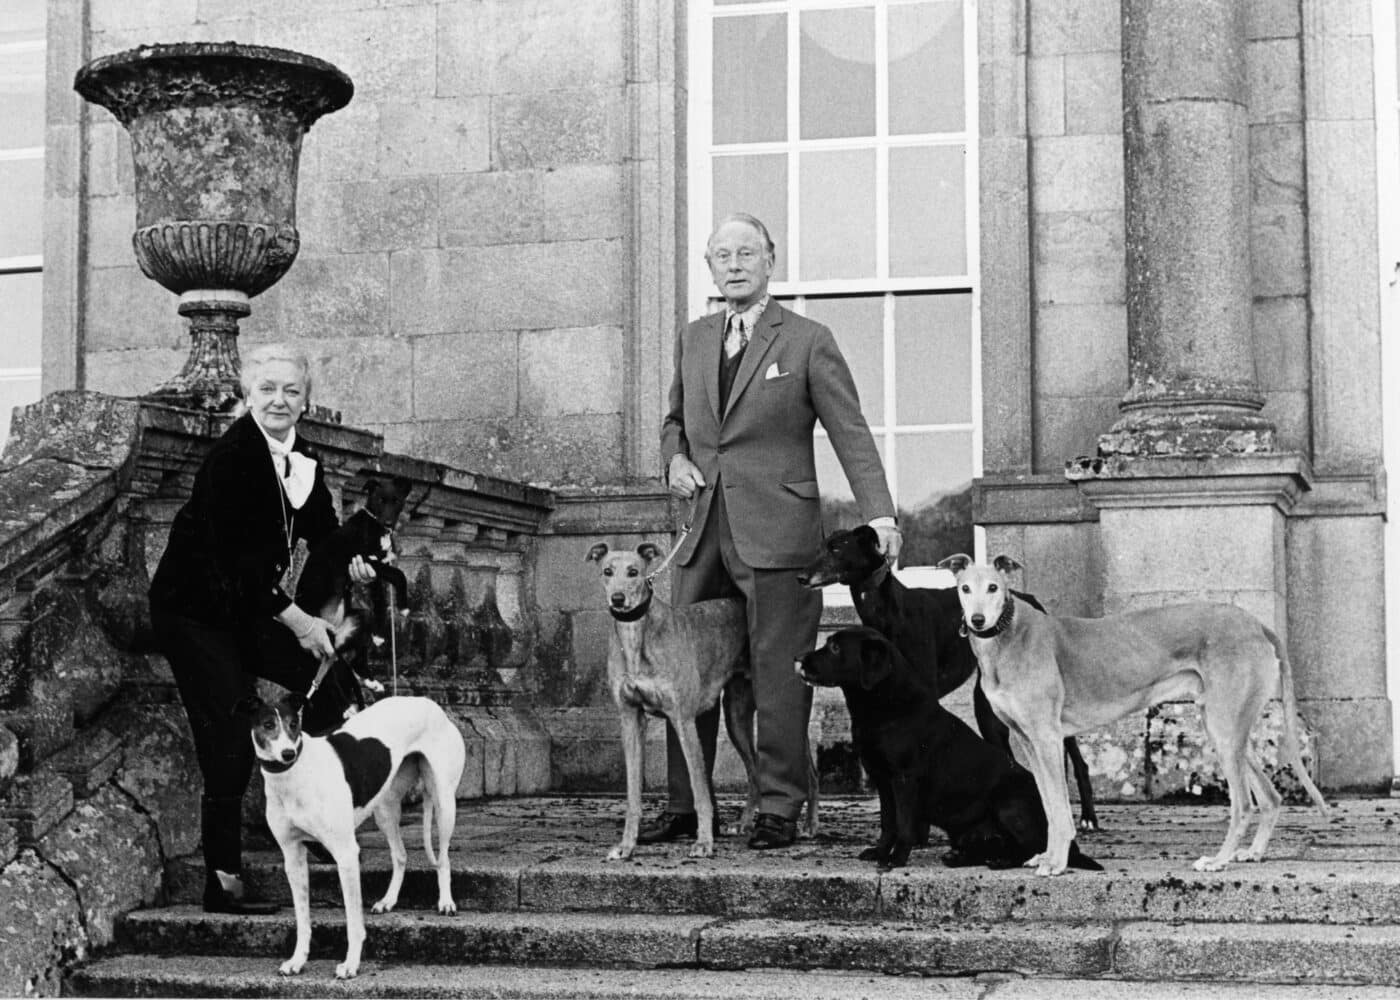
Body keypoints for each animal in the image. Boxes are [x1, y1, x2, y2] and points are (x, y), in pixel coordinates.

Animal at [235, 689, 464, 980]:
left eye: (293, 724)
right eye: (267, 725)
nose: (287, 754)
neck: (297, 774)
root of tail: (428, 702)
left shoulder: (346, 855)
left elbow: (353, 922)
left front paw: (351, 964)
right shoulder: (292, 857)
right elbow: (302, 918)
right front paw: (297, 960)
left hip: (444, 803)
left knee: (443, 858)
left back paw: (445, 902)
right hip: (385, 808)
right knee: (400, 854)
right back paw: (388, 900)